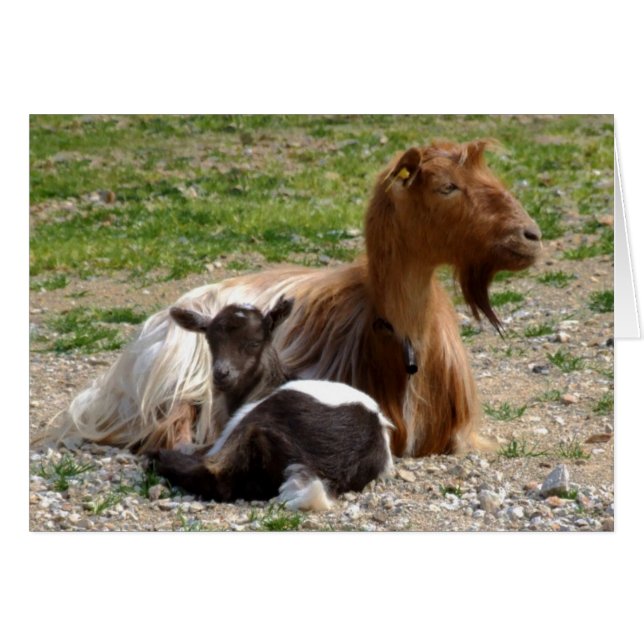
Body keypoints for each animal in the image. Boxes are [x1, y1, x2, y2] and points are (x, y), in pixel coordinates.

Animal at [151, 297, 394, 510]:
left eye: (255, 342)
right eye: (210, 341)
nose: (221, 374)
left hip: (259, 418)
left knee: (217, 475)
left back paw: (159, 458)